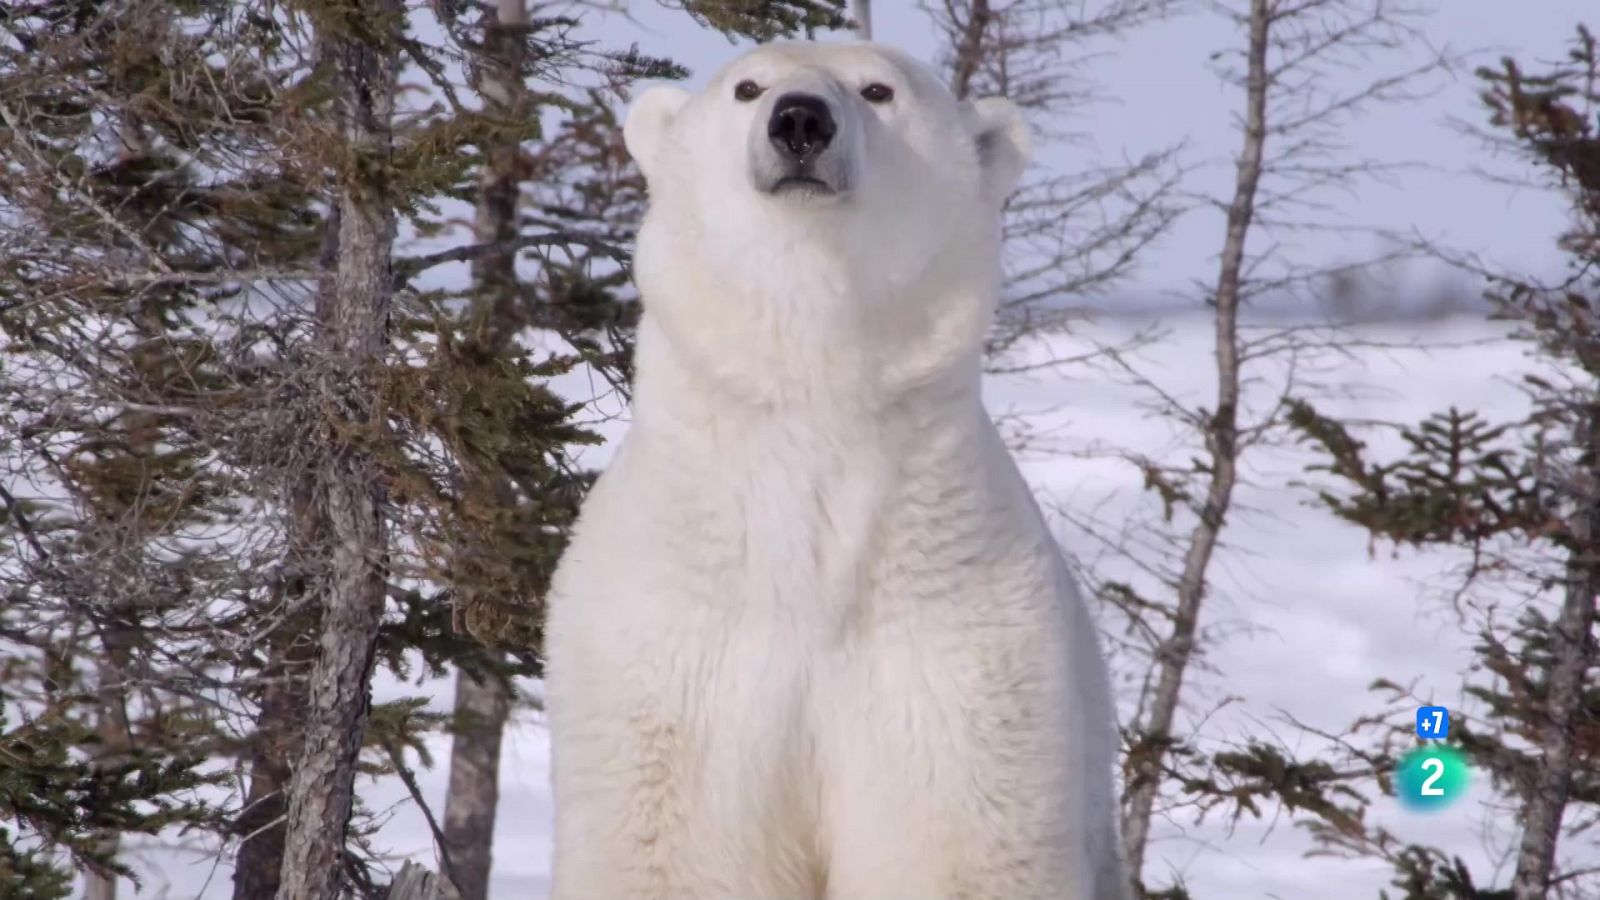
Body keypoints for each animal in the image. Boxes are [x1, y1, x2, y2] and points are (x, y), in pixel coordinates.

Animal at [544, 40, 1132, 896]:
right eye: (747, 86)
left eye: (878, 90)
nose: (800, 120)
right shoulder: (677, 651)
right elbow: (677, 847)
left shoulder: (952, 656)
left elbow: (954, 845)